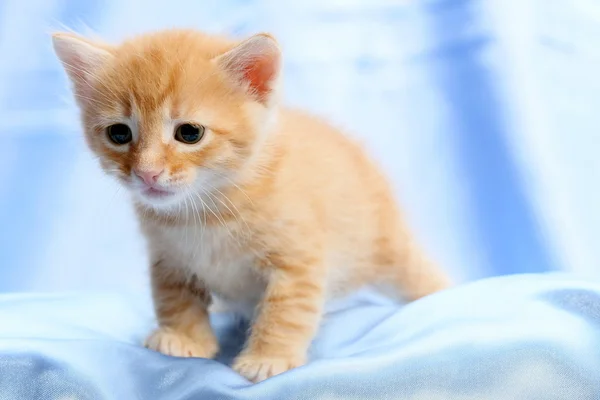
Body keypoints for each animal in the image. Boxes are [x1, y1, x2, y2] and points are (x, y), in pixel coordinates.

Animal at [52, 28, 450, 382]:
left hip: (385, 243)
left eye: (189, 133)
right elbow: (173, 298)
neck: (206, 211)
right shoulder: (168, 258)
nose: (147, 173)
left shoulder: (298, 261)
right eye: (119, 133)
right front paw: (182, 338)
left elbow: (285, 311)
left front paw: (268, 358)